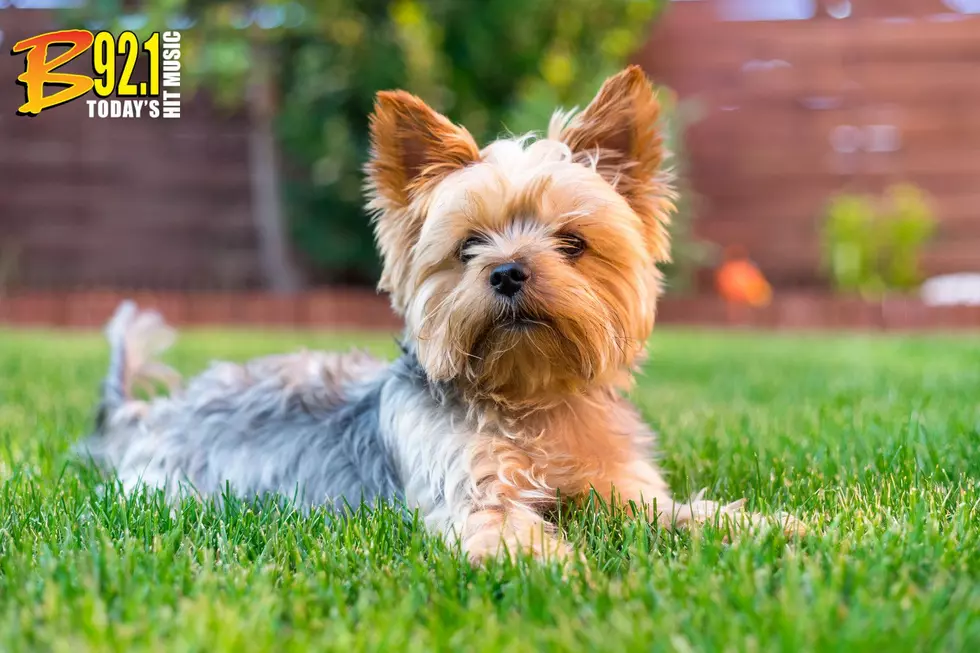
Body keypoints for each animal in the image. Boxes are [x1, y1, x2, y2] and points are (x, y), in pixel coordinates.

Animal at [78, 67, 804, 564]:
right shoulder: (476, 493)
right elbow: (514, 535)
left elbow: (676, 510)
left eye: (572, 242)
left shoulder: (619, 486)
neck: (530, 399)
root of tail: (149, 414)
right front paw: (568, 574)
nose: (507, 271)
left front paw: (766, 526)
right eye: (468, 246)